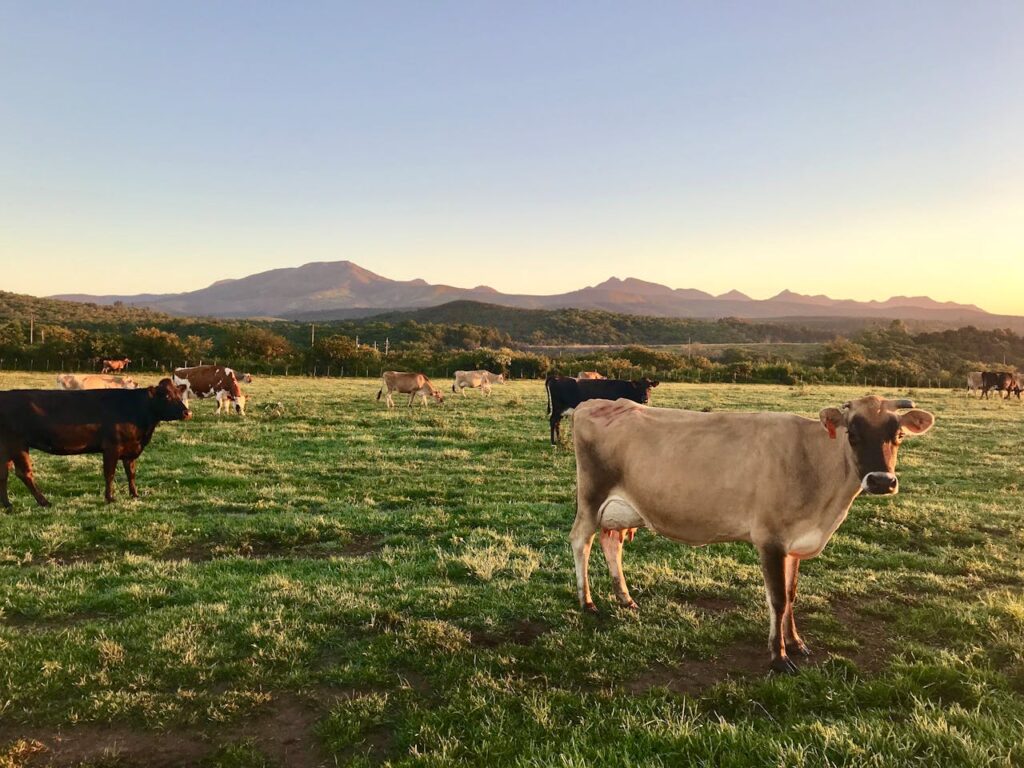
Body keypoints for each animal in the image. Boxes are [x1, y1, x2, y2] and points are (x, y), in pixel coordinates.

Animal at [0, 379, 191, 507]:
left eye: (179, 393)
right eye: (166, 395)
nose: (187, 412)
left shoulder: (130, 449)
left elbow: (131, 473)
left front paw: (135, 495)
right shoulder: (112, 447)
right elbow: (110, 474)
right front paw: (110, 498)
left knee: (4, 473)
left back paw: (8, 505)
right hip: (17, 444)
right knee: (24, 473)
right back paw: (44, 502)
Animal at [569, 395, 935, 674]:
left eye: (898, 435)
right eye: (853, 434)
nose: (881, 481)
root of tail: (597, 402)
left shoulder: (794, 543)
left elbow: (791, 594)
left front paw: (796, 642)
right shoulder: (770, 539)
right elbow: (777, 599)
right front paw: (779, 656)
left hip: (620, 509)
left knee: (611, 542)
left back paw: (625, 598)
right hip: (591, 497)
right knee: (580, 541)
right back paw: (587, 602)